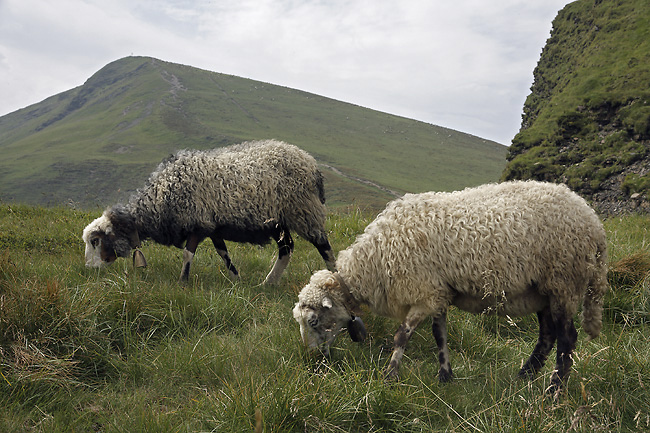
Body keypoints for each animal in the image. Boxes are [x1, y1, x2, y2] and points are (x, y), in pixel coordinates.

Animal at [81, 138, 334, 286]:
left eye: (95, 240)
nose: (89, 270)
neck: (162, 197)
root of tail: (311, 163)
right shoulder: (213, 227)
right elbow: (223, 254)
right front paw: (236, 280)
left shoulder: (197, 223)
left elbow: (188, 254)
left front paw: (182, 283)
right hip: (277, 221)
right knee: (286, 248)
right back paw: (268, 283)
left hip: (303, 210)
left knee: (323, 245)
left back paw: (334, 277)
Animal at [294, 179, 608, 392]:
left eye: (313, 321)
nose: (313, 360)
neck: (375, 260)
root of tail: (593, 221)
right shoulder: (437, 292)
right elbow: (439, 334)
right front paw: (445, 375)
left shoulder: (422, 291)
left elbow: (401, 335)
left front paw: (390, 375)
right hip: (542, 290)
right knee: (547, 335)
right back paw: (526, 376)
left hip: (564, 281)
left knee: (567, 339)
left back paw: (554, 390)